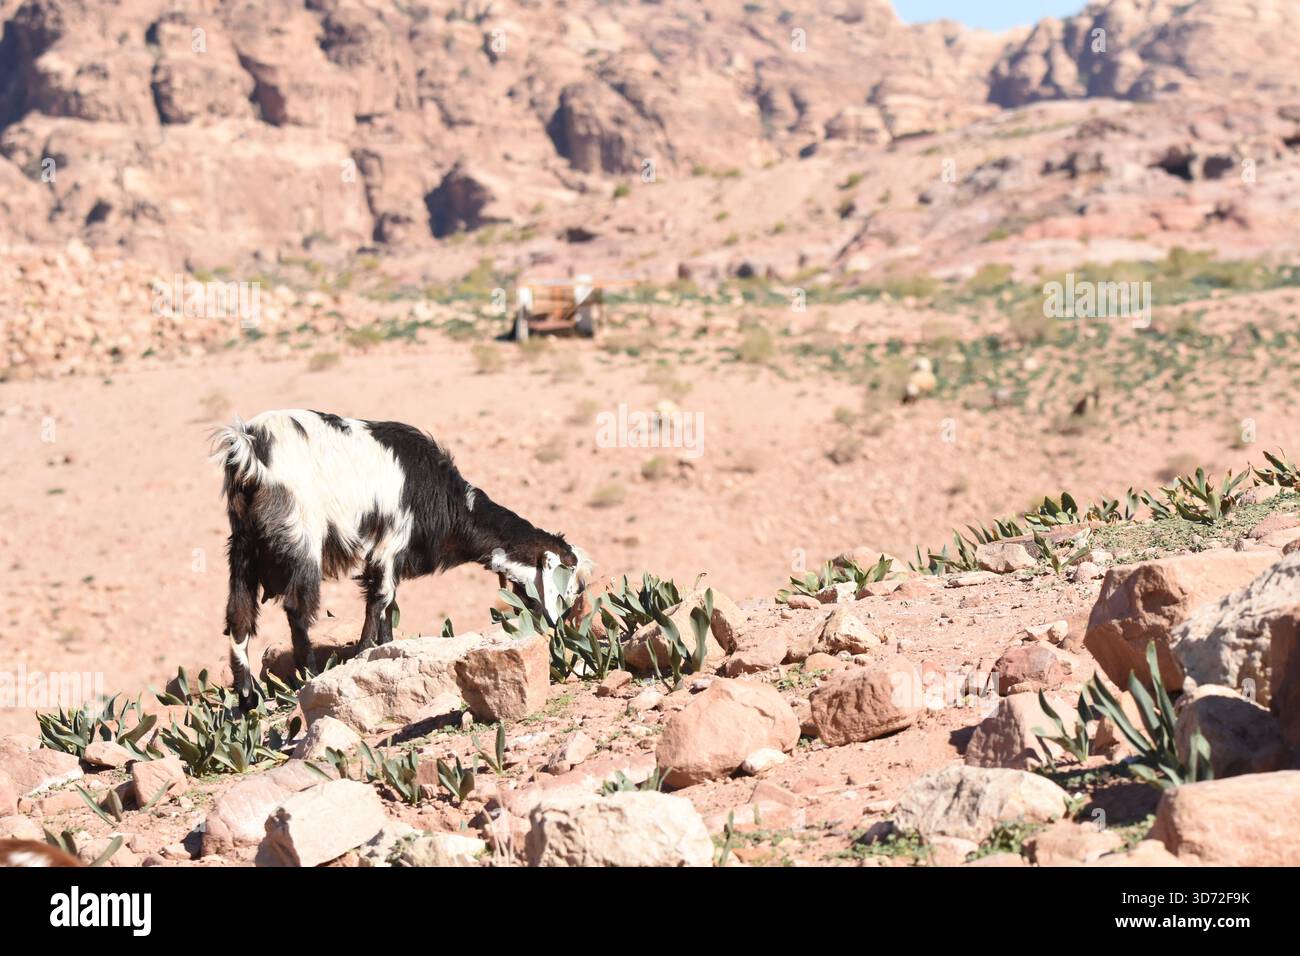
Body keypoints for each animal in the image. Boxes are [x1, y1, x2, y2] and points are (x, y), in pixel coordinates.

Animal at [212, 409, 591, 705]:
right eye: (567, 586)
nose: (558, 628)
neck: (446, 499)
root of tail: (249, 446)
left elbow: (386, 611)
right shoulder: (388, 546)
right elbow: (379, 605)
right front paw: (362, 658)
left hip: (242, 545)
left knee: (239, 615)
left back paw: (246, 699)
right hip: (301, 538)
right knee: (297, 610)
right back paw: (309, 674)